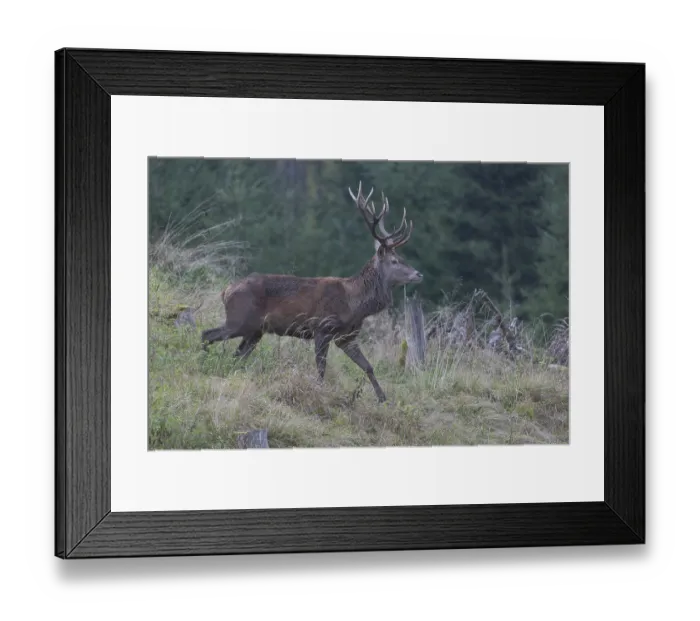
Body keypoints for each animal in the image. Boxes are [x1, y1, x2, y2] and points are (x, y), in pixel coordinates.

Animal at [200, 182, 423, 403]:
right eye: (395, 261)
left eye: (402, 258)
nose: (419, 274)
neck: (355, 303)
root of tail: (226, 290)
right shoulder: (322, 327)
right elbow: (321, 368)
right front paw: (319, 392)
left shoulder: (346, 337)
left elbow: (368, 366)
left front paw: (383, 398)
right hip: (239, 319)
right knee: (207, 333)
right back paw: (201, 359)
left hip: (255, 330)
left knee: (237, 356)